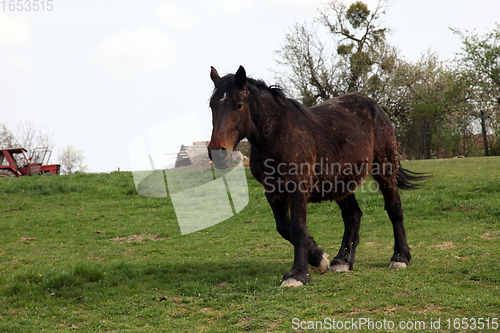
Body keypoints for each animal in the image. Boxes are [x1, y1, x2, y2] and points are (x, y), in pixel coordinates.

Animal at [207, 66, 426, 286]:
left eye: (239, 105)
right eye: (211, 106)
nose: (217, 152)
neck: (278, 134)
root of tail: (374, 106)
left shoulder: (297, 188)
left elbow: (297, 229)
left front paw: (297, 274)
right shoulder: (272, 190)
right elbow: (284, 228)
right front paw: (319, 258)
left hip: (384, 169)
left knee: (394, 208)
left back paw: (399, 257)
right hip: (340, 183)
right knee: (352, 215)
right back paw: (342, 261)